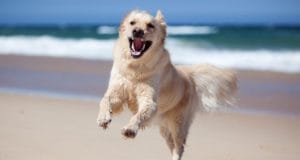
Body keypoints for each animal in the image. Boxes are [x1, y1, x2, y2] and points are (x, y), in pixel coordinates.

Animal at [96, 10, 237, 160]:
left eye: (150, 25)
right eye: (132, 22)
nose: (137, 31)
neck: (135, 66)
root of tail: (188, 75)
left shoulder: (149, 100)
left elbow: (139, 115)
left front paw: (130, 129)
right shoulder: (117, 93)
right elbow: (104, 100)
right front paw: (103, 118)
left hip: (178, 124)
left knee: (179, 146)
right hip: (164, 128)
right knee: (172, 144)